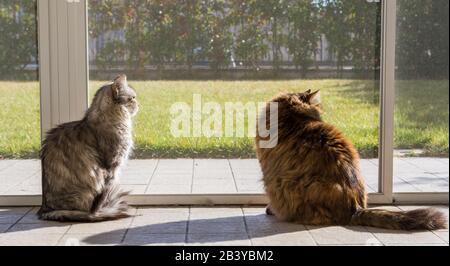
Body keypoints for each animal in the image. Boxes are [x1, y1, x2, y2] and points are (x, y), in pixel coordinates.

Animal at [38, 74, 138, 221]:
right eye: (132, 98)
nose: (139, 105)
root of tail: (45, 209)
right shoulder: (111, 167)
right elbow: (104, 195)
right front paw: (103, 209)